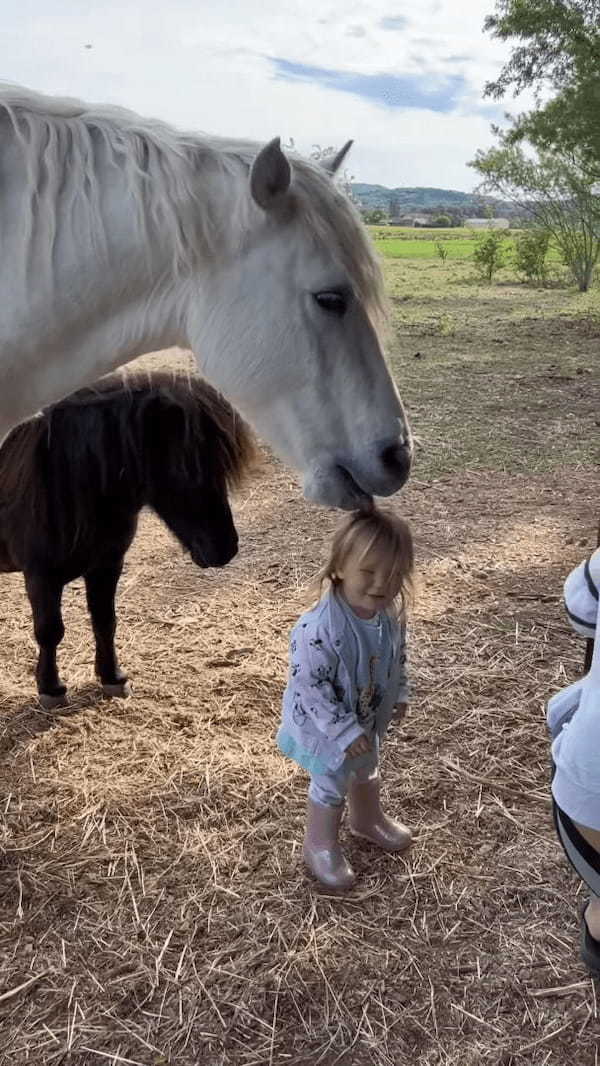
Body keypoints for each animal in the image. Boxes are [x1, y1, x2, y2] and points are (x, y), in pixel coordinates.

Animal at [0, 368, 255, 707]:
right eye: (186, 468)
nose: (226, 548)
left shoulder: (107, 565)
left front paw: (112, 677)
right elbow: (50, 631)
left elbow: (105, 621)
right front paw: (51, 688)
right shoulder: (41, 576)